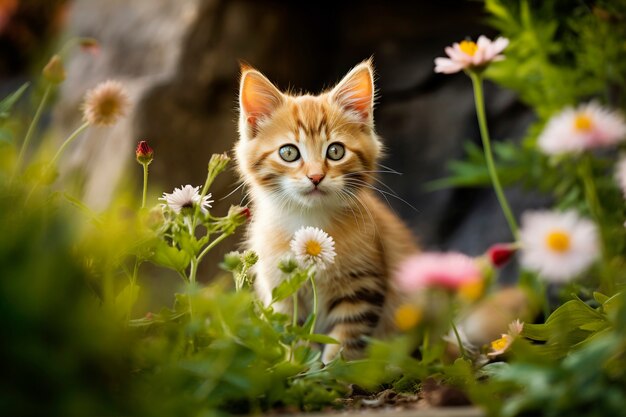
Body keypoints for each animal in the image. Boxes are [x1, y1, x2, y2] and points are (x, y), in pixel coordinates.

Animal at [233, 58, 414, 360]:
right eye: (289, 153)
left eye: (336, 151)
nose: (316, 176)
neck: (308, 222)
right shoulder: (281, 292)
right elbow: (295, 338)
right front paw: (300, 364)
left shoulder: (363, 289)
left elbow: (345, 343)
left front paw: (334, 369)